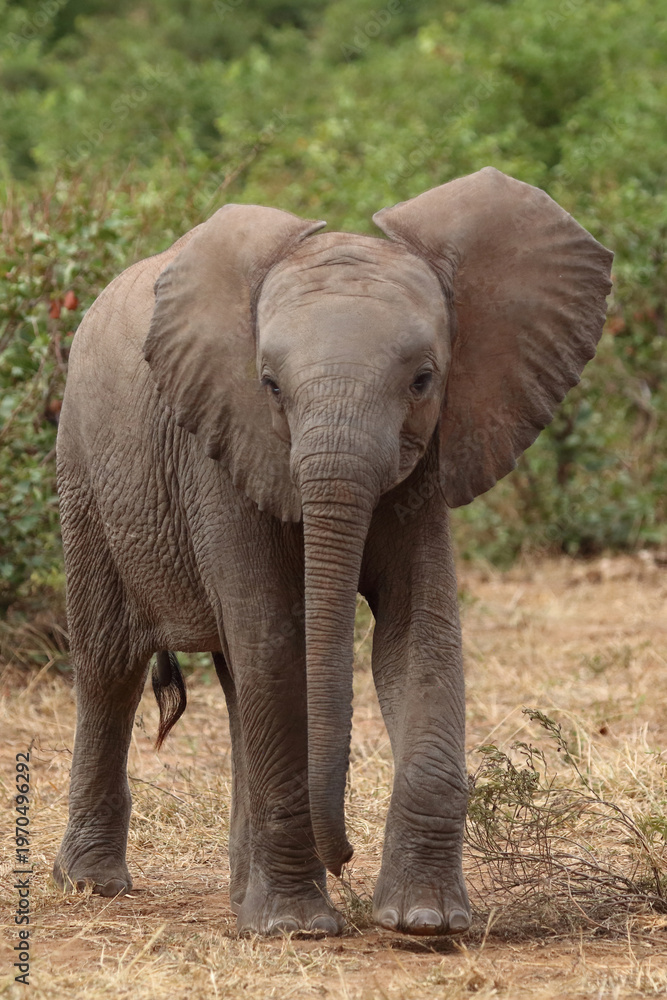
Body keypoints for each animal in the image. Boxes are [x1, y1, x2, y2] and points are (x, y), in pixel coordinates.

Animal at [53, 167, 612, 937]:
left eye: (422, 380)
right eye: (269, 385)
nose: (343, 855)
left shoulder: (427, 460)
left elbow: (418, 633)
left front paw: (424, 922)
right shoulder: (221, 450)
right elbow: (273, 639)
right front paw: (295, 929)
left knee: (230, 682)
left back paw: (239, 895)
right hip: (82, 469)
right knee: (110, 665)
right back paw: (93, 886)